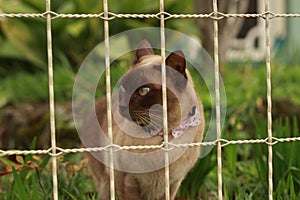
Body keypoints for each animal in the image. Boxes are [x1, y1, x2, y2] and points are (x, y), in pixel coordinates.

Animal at [82, 39, 204, 199]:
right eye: (123, 88)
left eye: (143, 91)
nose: (122, 106)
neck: (164, 135)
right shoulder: (127, 181)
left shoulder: (173, 183)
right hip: (105, 183)